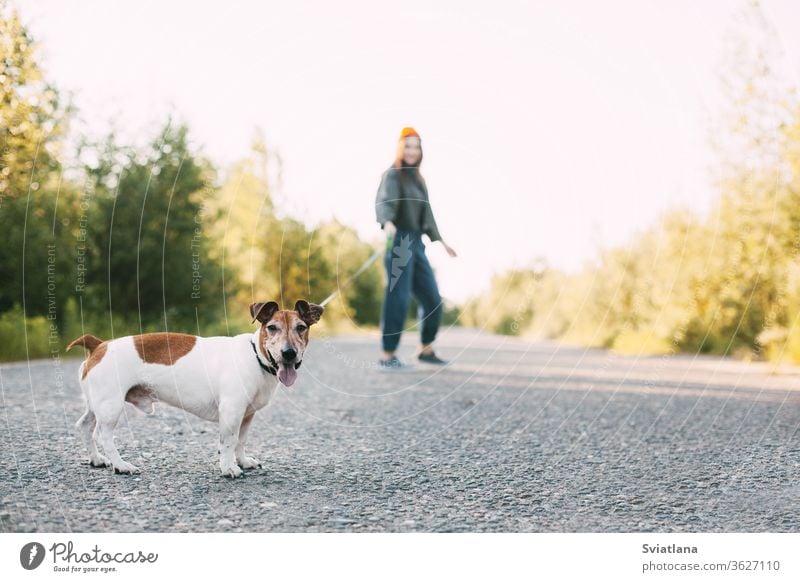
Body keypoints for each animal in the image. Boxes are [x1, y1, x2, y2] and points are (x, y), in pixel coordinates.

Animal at [65, 302, 322, 480]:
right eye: (272, 328)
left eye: (301, 328)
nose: (289, 353)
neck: (255, 356)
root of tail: (99, 344)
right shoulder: (231, 413)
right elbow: (228, 442)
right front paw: (228, 467)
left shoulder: (247, 415)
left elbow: (240, 441)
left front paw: (242, 461)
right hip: (111, 406)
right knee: (104, 435)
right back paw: (120, 465)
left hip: (97, 405)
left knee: (85, 426)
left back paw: (96, 459)